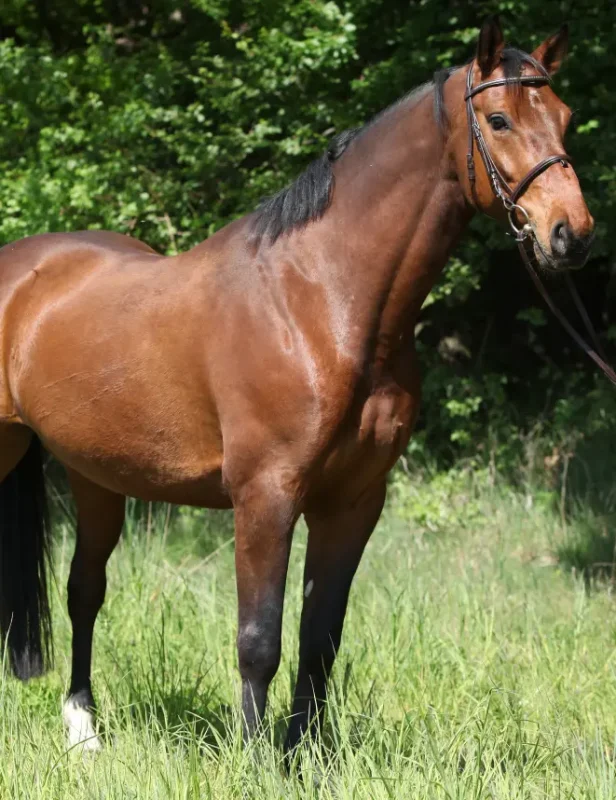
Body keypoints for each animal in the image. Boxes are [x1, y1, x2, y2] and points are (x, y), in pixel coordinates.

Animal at [0, 18, 594, 753]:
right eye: (500, 118)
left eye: (564, 116)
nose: (571, 233)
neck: (320, 301)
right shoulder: (266, 496)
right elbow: (260, 640)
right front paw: (256, 758)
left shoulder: (352, 502)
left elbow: (321, 640)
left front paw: (303, 755)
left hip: (96, 474)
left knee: (85, 588)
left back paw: (83, 728)